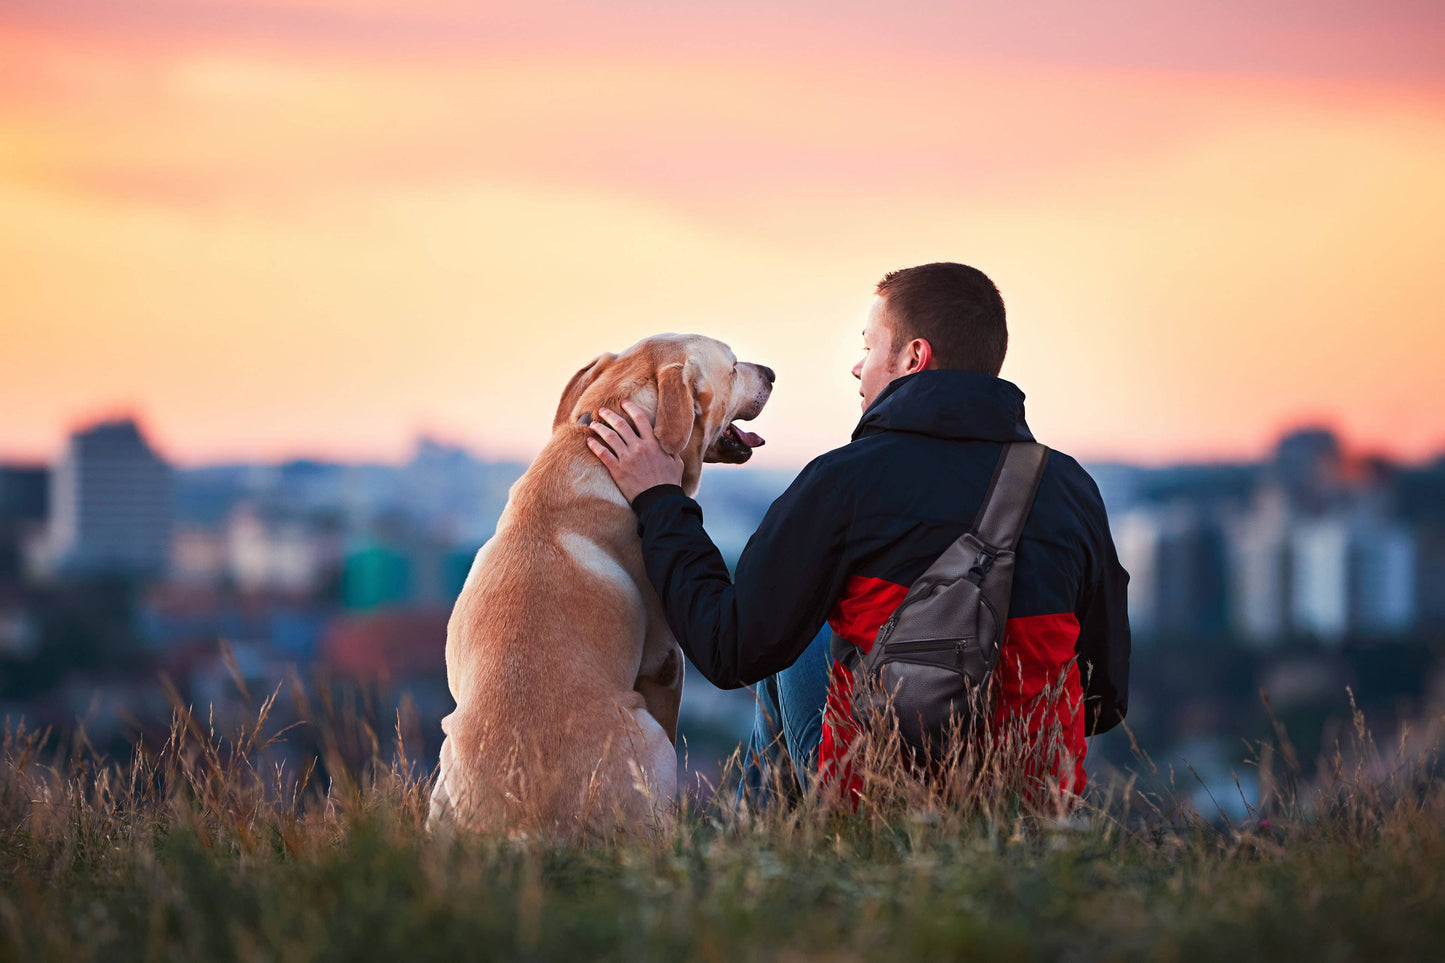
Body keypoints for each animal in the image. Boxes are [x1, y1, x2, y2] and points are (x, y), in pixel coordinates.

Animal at [421, 334, 774, 838]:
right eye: (731, 365)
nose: (771, 373)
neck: (591, 448)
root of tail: (524, 825)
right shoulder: (667, 661)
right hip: (648, 738)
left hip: (443, 771)